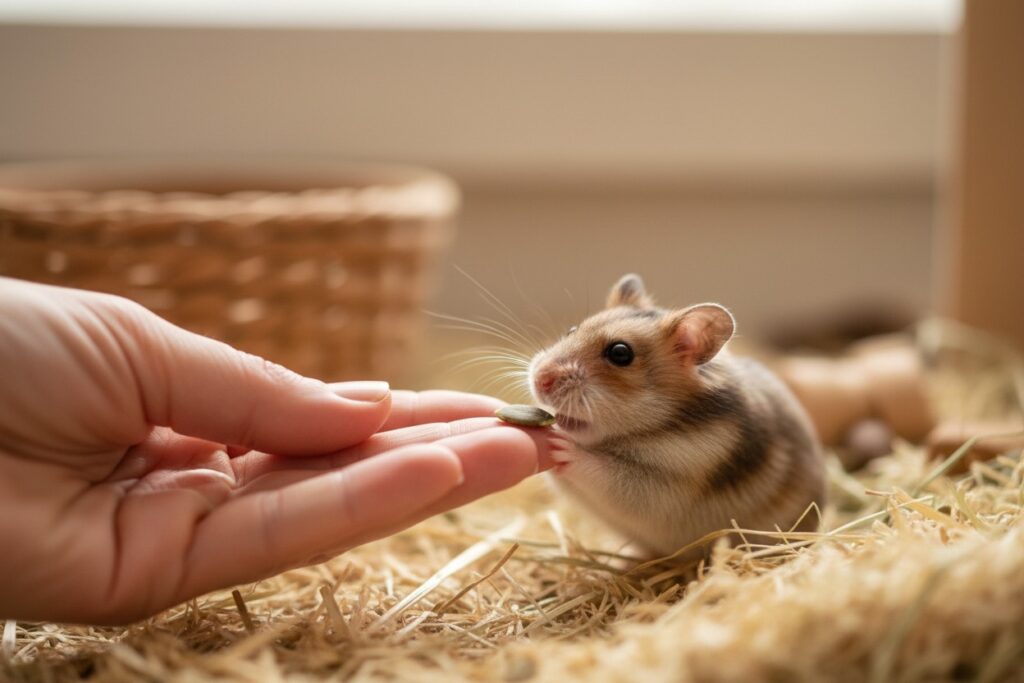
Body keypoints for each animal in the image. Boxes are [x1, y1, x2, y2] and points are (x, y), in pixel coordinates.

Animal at [528, 274, 825, 560]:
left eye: (620, 353)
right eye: (572, 330)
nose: (540, 379)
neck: (657, 426)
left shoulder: (662, 487)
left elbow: (604, 471)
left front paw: (561, 444)